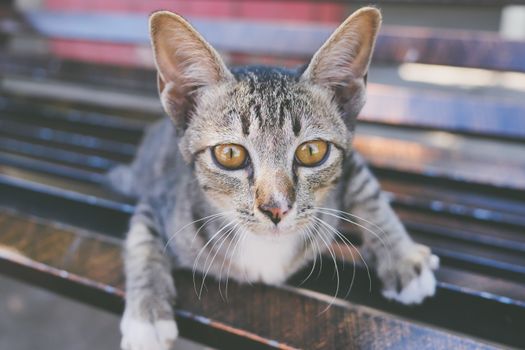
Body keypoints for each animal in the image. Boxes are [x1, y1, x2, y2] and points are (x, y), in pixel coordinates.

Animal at [110, 6, 438, 348]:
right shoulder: (159, 199)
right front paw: (146, 315)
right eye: (230, 154)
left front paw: (402, 259)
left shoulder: (351, 159)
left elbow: (370, 193)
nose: (276, 208)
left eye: (312, 151)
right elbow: (142, 241)